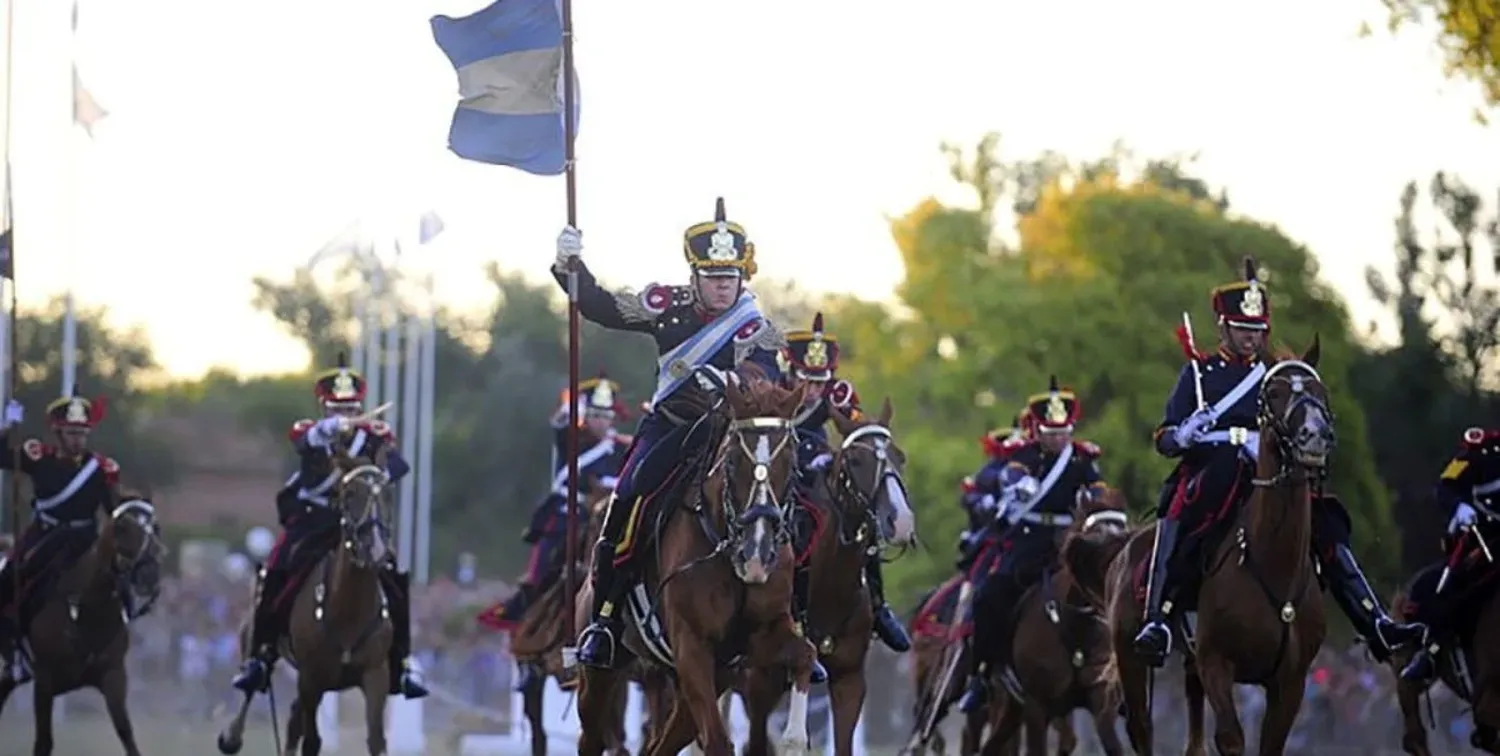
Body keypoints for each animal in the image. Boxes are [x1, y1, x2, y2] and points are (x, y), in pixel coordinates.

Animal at [0, 495, 165, 756]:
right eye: (122, 527)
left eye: (155, 527)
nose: (148, 575)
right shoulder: (44, 682)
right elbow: (43, 743)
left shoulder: (114, 677)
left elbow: (126, 734)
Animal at [570, 381, 816, 756]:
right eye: (732, 459)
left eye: (791, 460)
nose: (757, 556)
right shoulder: (692, 644)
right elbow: (717, 742)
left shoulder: (758, 637)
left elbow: (804, 653)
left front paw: (795, 740)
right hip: (601, 674)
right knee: (593, 736)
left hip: (705, 680)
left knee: (659, 746)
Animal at [1086, 342, 1332, 756]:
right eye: (1274, 392)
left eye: (1320, 391)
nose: (1314, 435)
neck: (1272, 563)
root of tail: (1124, 549)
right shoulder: (1216, 663)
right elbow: (1231, 739)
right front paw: (1193, 428)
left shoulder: (1290, 682)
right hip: (1133, 657)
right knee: (1141, 728)